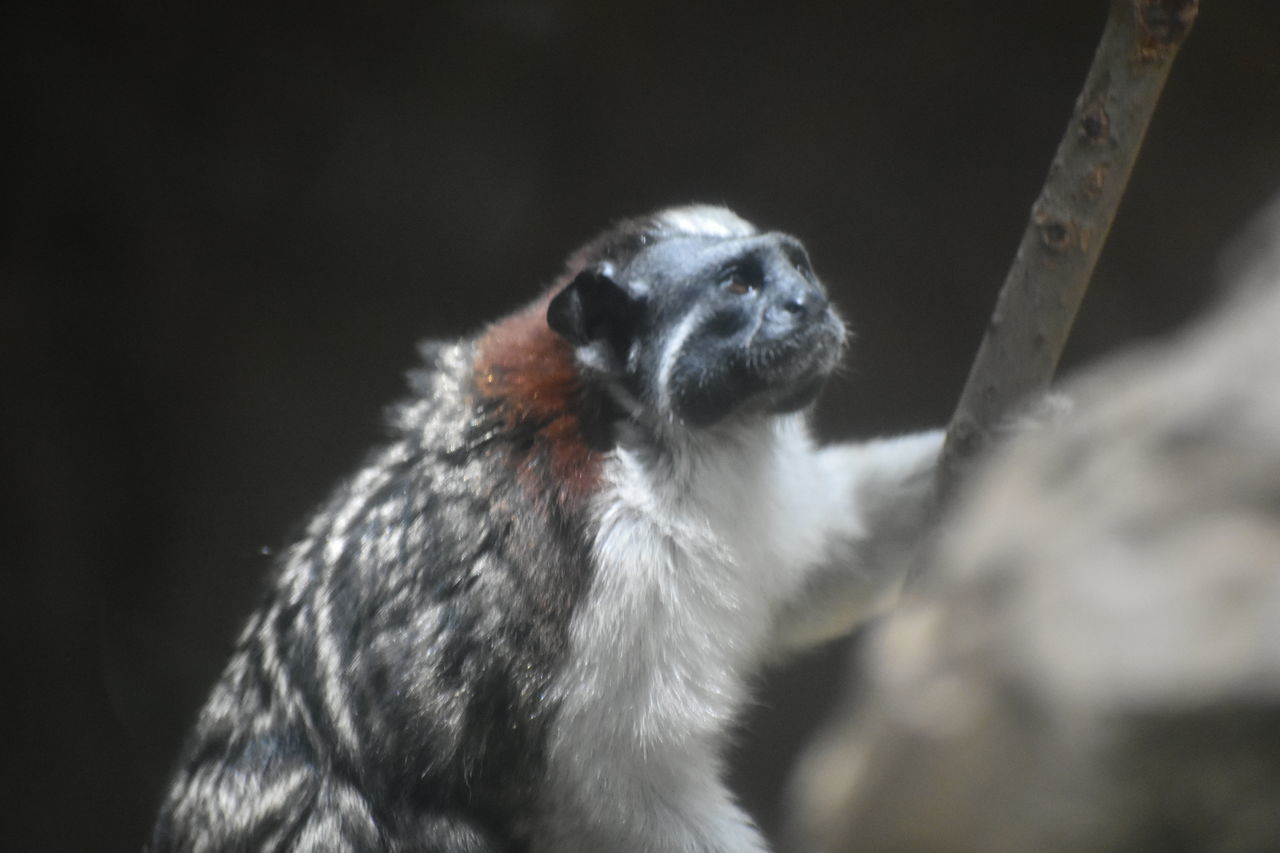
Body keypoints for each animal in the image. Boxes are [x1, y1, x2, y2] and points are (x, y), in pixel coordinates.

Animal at [152, 206, 942, 850]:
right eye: (740, 288)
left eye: (796, 268)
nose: (808, 304)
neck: (638, 429)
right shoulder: (615, 554)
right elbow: (606, 782)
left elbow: (828, 556)